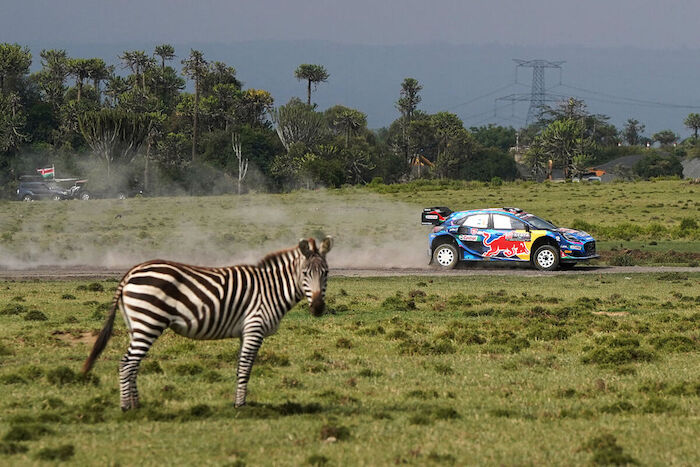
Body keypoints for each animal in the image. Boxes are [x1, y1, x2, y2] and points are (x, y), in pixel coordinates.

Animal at [82, 238, 334, 410]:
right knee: (127, 363)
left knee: (133, 364)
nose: (318, 308)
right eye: (305, 273)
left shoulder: (245, 332)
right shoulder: (254, 327)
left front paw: (238, 401)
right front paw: (240, 406)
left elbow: (241, 367)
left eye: (326, 273)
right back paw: (127, 407)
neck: (271, 289)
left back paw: (137, 405)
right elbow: (246, 367)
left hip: (136, 324)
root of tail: (130, 272)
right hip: (149, 322)